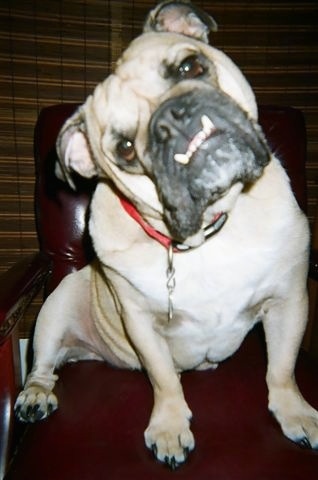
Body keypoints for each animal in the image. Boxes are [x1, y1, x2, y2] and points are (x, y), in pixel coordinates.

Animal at [14, 0, 318, 468]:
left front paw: (295, 412)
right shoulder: (141, 323)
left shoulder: (289, 301)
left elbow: (282, 368)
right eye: (125, 149)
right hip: (56, 308)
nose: (173, 120)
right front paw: (170, 428)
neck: (208, 231)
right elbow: (164, 382)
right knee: (43, 366)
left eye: (191, 66)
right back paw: (35, 396)